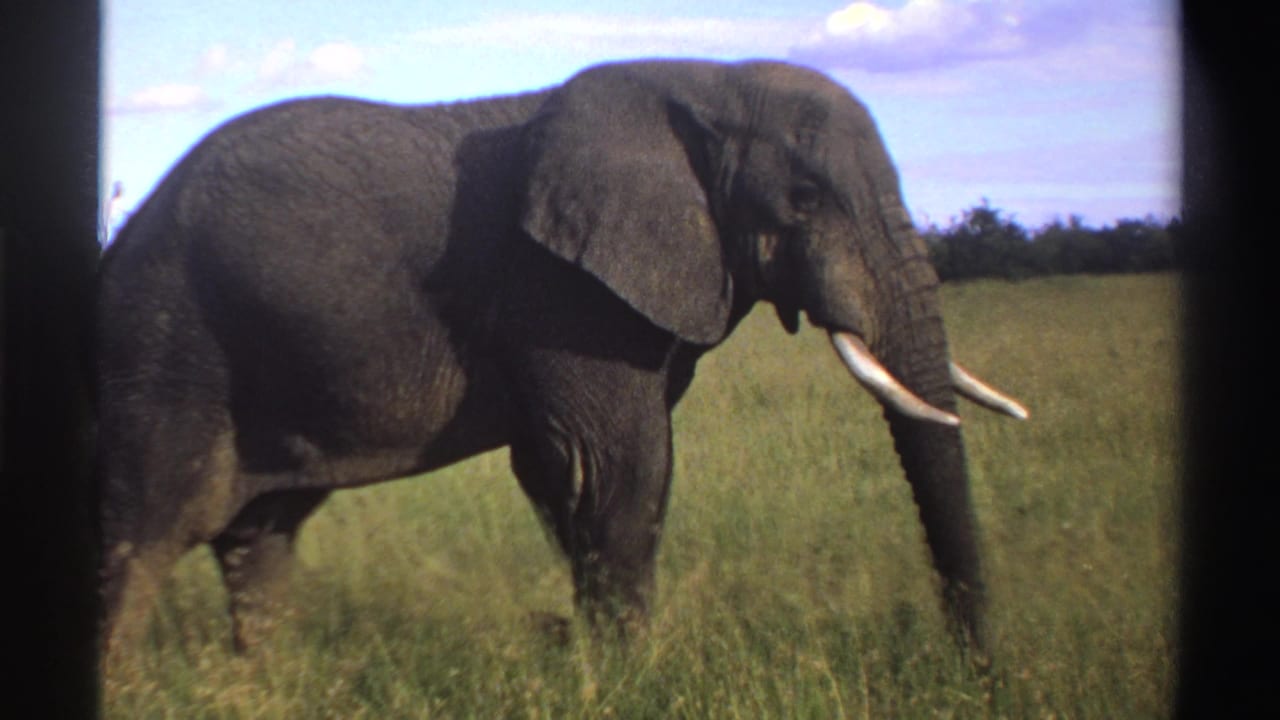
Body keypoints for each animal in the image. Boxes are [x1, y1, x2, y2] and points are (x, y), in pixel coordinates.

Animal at [95, 58, 1027, 665]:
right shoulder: (561, 289)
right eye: (804, 199)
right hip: (168, 340)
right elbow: (616, 465)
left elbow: (566, 473)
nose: (975, 675)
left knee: (260, 534)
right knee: (145, 530)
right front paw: (634, 679)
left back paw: (261, 684)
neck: (705, 79)